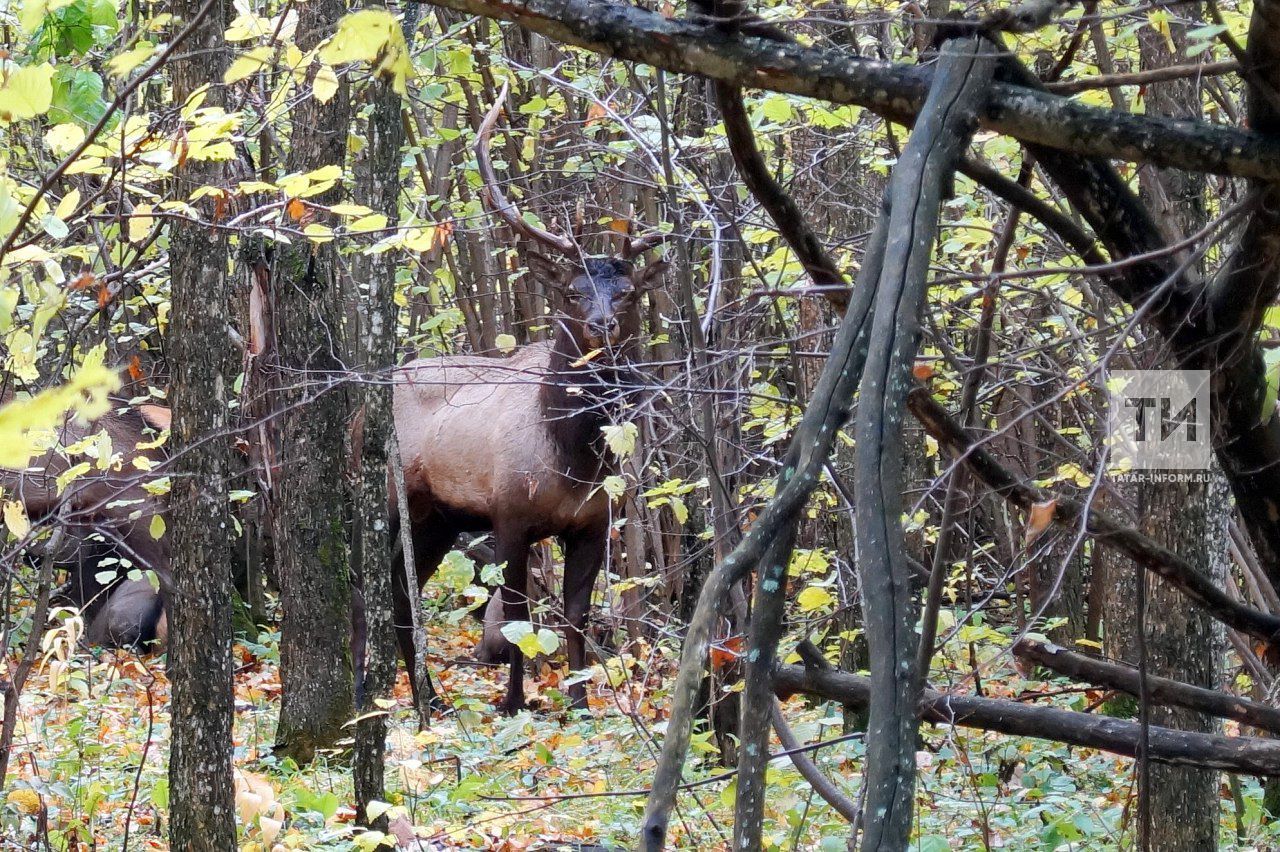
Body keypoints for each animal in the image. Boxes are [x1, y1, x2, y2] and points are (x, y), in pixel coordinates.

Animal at [387, 83, 667, 714]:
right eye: (572, 290)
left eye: (627, 291)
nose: (602, 325)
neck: (574, 458)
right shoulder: (510, 514)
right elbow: (516, 615)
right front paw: (514, 702)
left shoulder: (592, 524)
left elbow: (576, 614)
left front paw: (580, 702)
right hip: (399, 495)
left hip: (441, 515)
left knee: (403, 583)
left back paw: (427, 697)